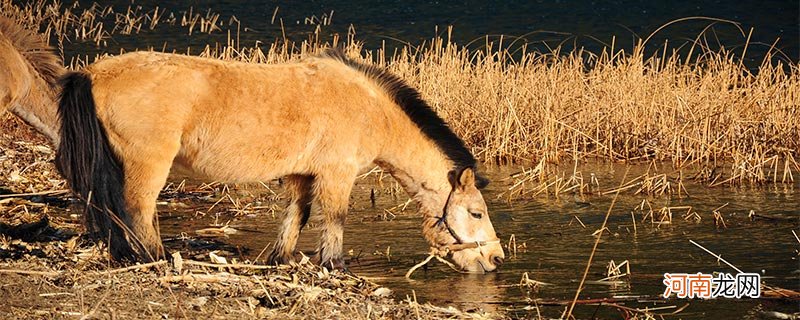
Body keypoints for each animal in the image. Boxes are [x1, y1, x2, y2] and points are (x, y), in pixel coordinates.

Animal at [1, 17, 506, 272]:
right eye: (476, 213)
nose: (495, 259)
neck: (367, 105)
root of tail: (91, 74)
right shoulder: (337, 174)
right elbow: (335, 220)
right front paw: (335, 267)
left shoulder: (303, 174)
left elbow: (296, 217)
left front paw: (281, 259)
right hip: (147, 166)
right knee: (137, 209)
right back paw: (155, 259)